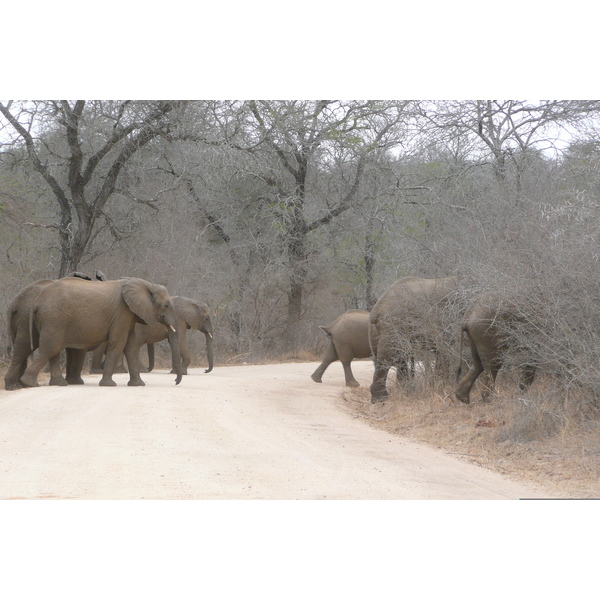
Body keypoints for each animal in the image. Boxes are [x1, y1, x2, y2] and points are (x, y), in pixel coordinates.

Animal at [18, 278, 183, 390]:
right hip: (55, 319)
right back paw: (29, 383)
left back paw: (58, 384)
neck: (146, 285)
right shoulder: (122, 313)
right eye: (166, 305)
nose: (175, 381)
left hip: (52, 320)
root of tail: (37, 302)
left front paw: (138, 385)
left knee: (53, 350)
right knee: (50, 348)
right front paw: (109, 385)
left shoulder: (129, 315)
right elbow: (118, 343)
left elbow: (130, 346)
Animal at [368, 276, 458, 404]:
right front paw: (441, 387)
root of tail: (375, 310)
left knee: (396, 357)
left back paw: (406, 391)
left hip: (378, 332)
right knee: (387, 358)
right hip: (392, 327)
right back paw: (381, 399)